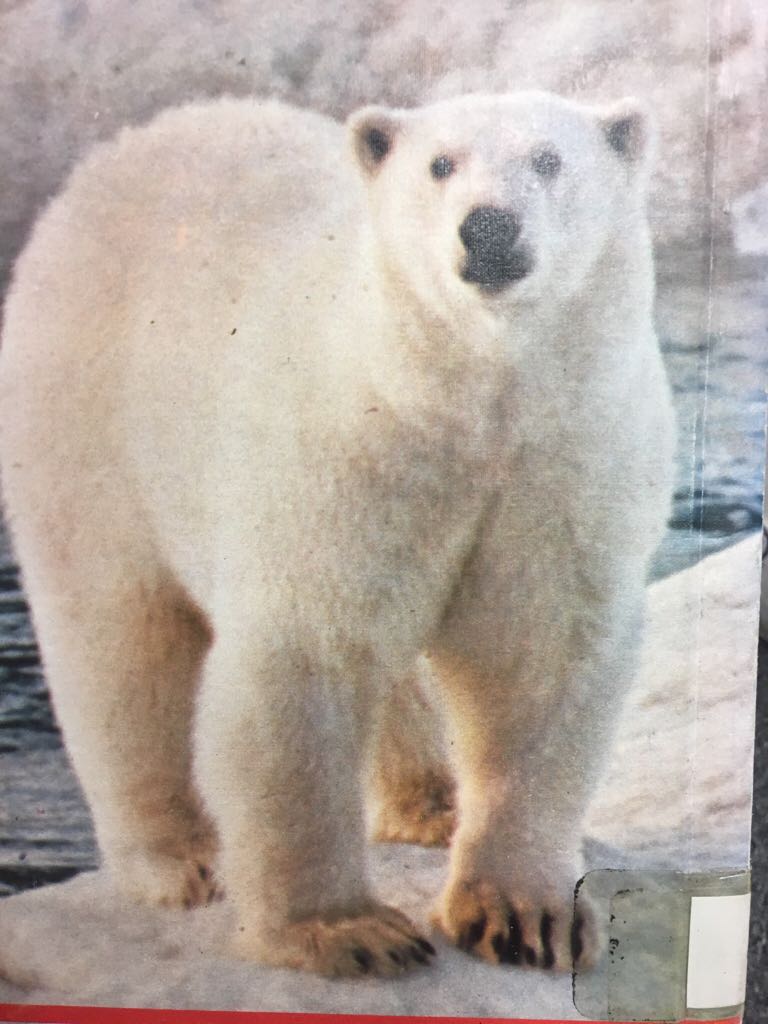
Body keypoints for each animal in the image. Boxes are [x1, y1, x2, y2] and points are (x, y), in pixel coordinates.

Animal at [0, 92, 675, 977]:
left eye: (549, 159)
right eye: (440, 164)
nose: (489, 227)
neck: (469, 403)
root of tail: (119, 150)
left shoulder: (565, 462)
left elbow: (537, 658)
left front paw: (525, 919)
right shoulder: (345, 449)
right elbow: (306, 656)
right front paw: (347, 932)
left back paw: (432, 802)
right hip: (89, 426)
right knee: (121, 638)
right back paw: (182, 860)